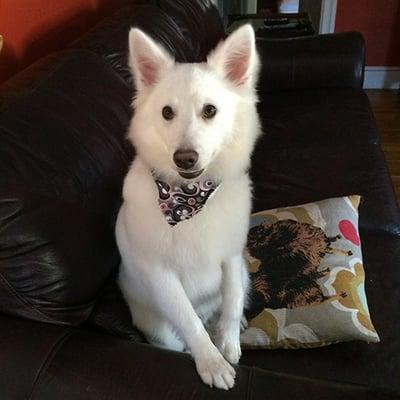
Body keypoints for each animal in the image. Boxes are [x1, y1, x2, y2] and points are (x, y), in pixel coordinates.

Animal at [115, 23, 260, 390]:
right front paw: (211, 362)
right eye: (167, 112)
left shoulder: (231, 257)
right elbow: (190, 322)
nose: (185, 158)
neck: (190, 199)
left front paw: (228, 341)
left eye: (210, 110)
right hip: (160, 328)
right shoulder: (161, 275)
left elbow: (233, 298)